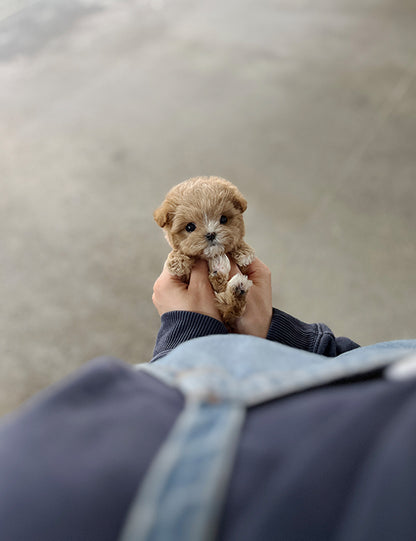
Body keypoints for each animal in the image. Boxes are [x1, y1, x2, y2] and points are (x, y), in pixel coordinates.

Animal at [154, 176, 255, 324]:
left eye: (223, 219)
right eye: (190, 227)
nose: (211, 234)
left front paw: (244, 252)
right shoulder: (185, 277)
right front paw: (177, 262)